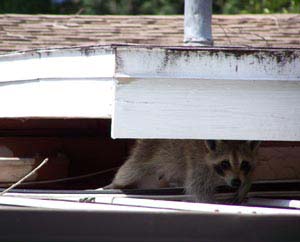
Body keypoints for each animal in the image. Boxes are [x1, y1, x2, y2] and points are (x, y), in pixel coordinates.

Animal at [105, 140, 260, 202]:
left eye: (244, 164)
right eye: (225, 163)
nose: (236, 182)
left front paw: (245, 185)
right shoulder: (198, 165)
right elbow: (197, 189)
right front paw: (210, 202)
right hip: (146, 152)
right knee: (129, 170)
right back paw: (115, 183)